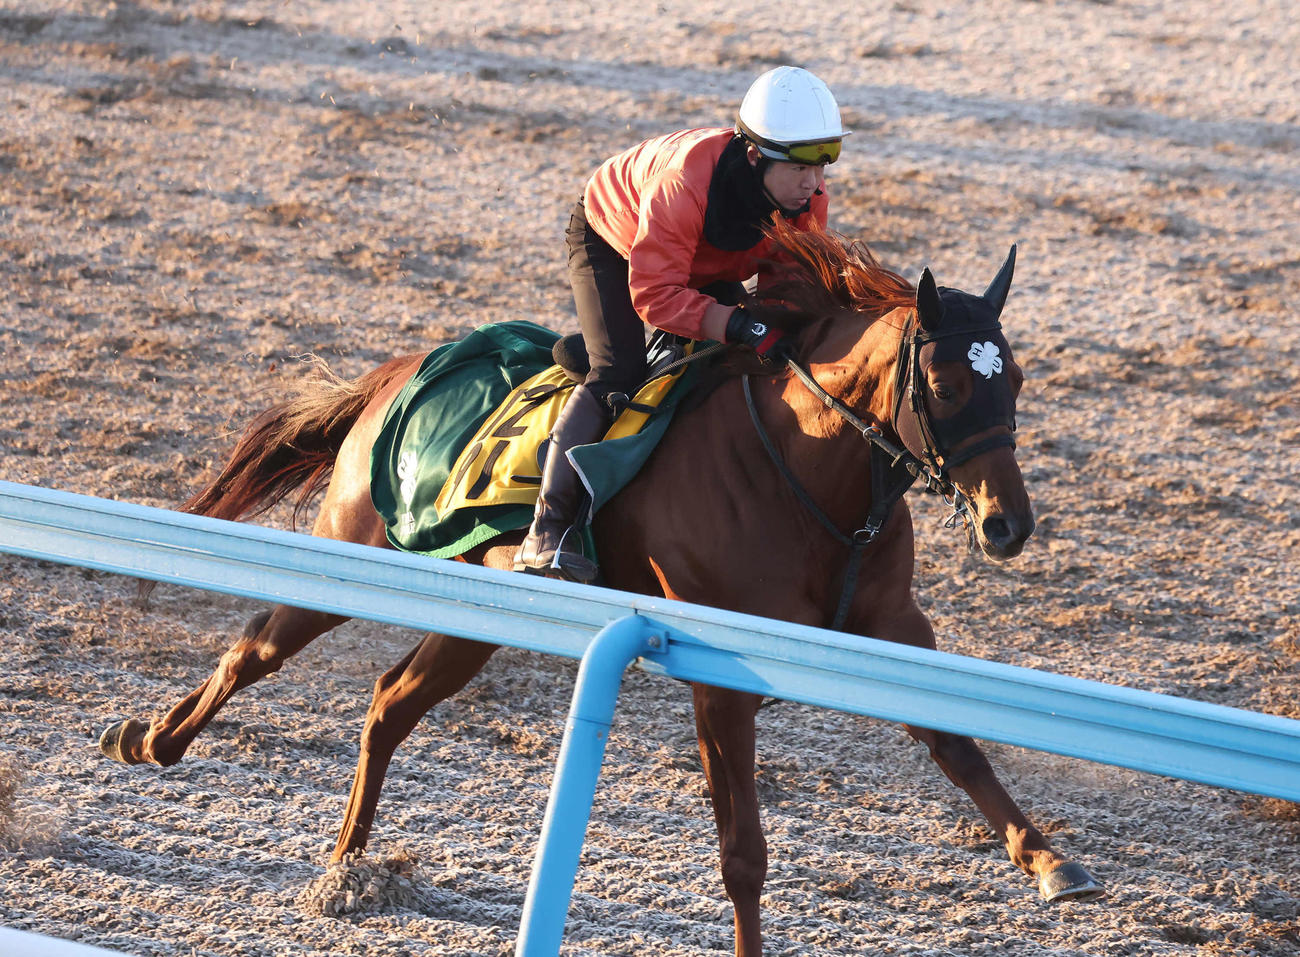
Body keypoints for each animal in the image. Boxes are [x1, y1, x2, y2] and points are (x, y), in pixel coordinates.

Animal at [99, 221, 1103, 955]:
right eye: (943, 380)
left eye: (1015, 377)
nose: (1008, 525)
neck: (806, 471)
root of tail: (400, 373)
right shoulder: (719, 672)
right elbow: (743, 850)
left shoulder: (895, 629)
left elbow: (959, 745)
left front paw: (1052, 862)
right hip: (352, 550)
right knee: (256, 647)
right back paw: (151, 739)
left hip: (474, 615)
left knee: (388, 701)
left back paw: (346, 864)